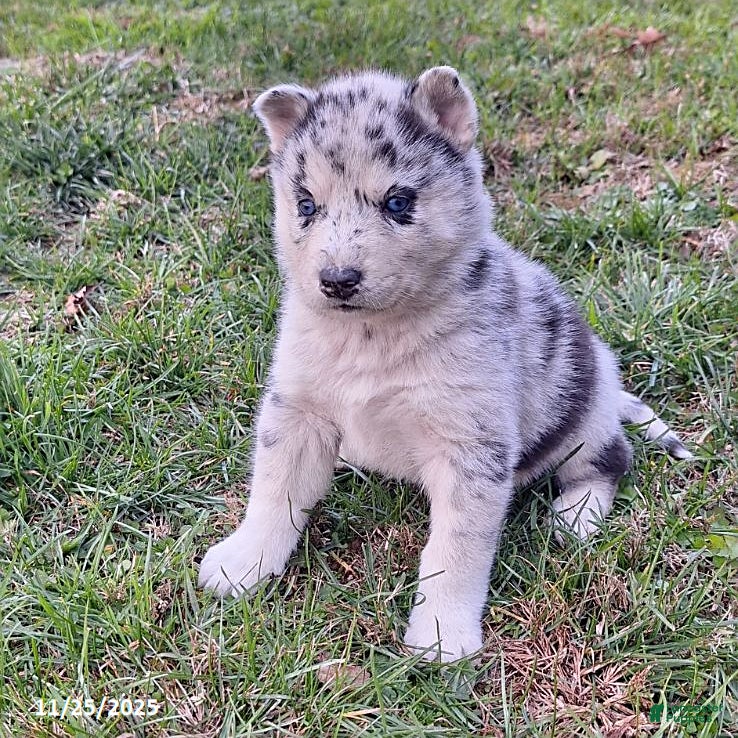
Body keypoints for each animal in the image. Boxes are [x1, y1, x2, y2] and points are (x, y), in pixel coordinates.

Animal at [198, 66, 692, 661]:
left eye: (397, 202)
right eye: (307, 205)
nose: (337, 281)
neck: (373, 337)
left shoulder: (471, 444)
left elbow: (455, 552)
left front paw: (440, 633)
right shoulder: (297, 409)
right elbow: (274, 494)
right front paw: (243, 562)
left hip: (582, 418)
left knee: (610, 460)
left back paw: (577, 515)